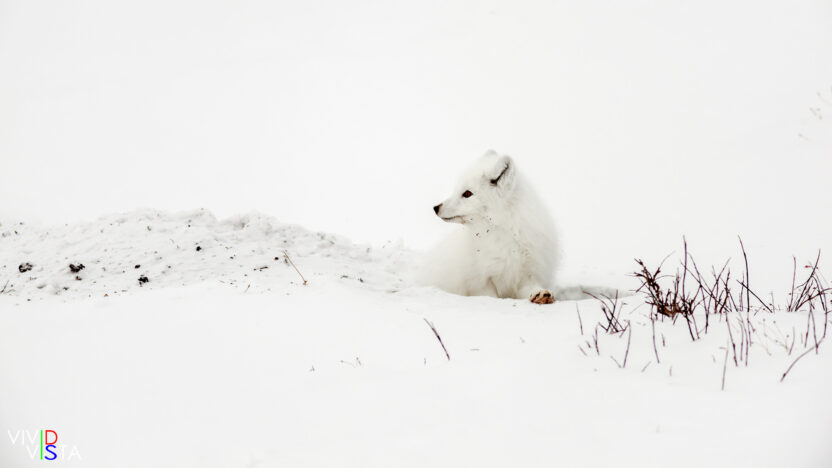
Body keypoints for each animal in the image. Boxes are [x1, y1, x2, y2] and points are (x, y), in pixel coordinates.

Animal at [420, 150, 560, 304]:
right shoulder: (482, 282)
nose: (435, 207)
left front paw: (540, 294)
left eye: (467, 193)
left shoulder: (527, 274)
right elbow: (489, 297)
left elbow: (532, 287)